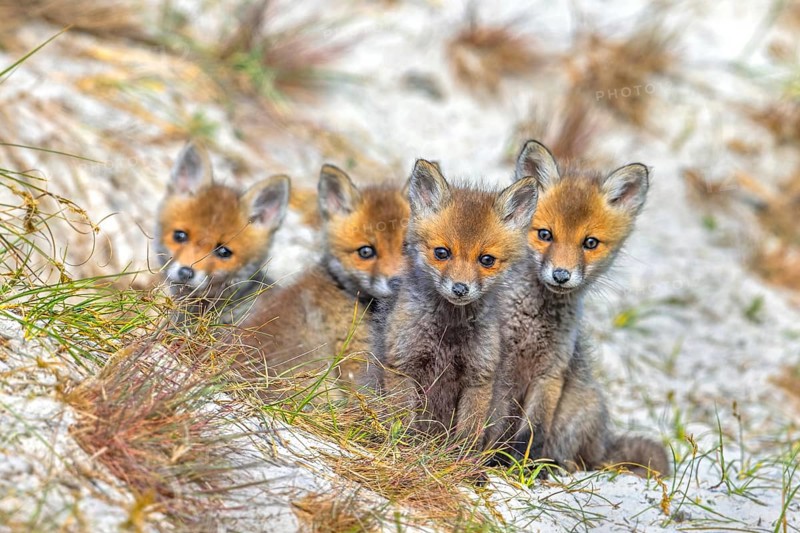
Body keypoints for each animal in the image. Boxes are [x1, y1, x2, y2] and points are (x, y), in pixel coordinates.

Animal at [376, 159, 539, 445]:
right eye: (442, 253)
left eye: (486, 259)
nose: (460, 289)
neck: (448, 331)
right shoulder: (402, 364)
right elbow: (401, 422)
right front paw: (402, 448)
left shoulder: (479, 377)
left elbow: (468, 435)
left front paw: (458, 456)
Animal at [486, 140, 670, 477]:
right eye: (545, 235)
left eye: (590, 243)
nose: (561, 275)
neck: (534, 322)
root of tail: (604, 441)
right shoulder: (502, 368)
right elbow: (496, 421)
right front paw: (491, 459)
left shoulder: (551, 374)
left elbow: (533, 432)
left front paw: (524, 467)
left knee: (580, 459)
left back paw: (555, 465)